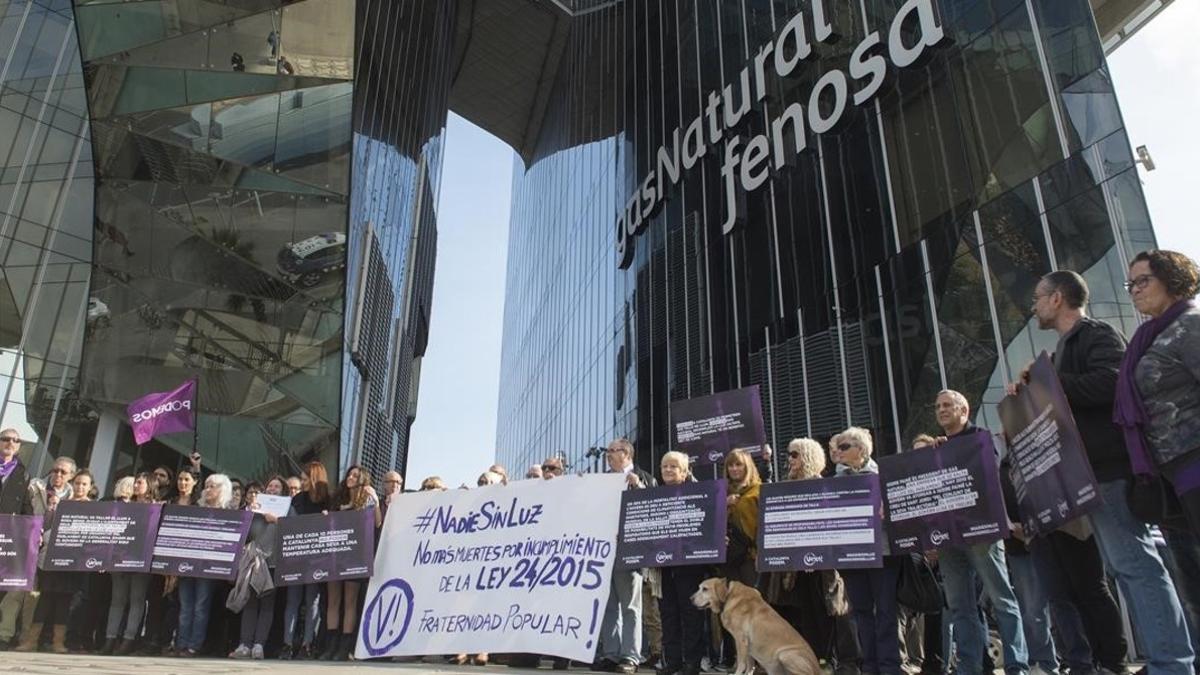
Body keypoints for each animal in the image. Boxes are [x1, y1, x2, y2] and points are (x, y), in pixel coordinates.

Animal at [691, 571, 820, 672]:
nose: (690, 599)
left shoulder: (741, 640)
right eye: (699, 587)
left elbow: (741, 665)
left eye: (705, 589)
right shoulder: (748, 647)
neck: (728, 595)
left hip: (785, 655)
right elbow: (749, 667)